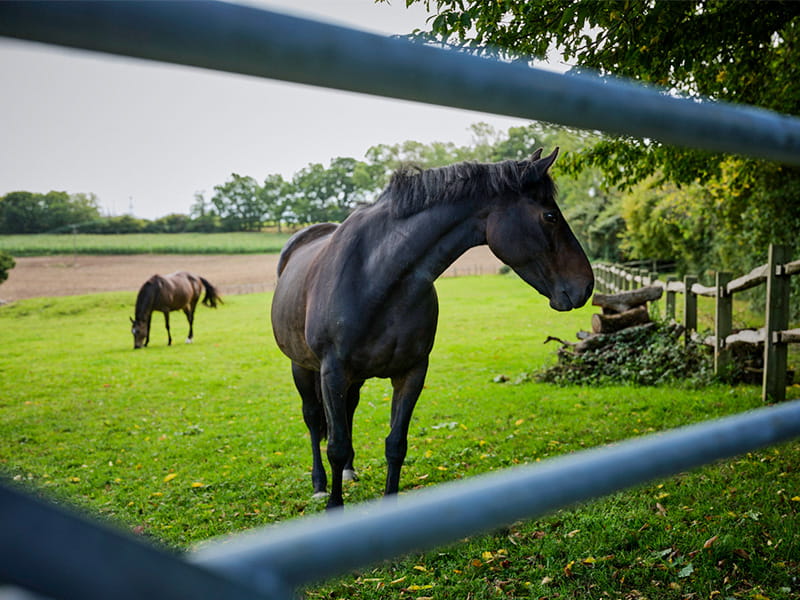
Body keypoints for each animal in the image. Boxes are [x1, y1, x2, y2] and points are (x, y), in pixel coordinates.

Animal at [270, 148, 594, 509]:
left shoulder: (412, 372)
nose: (586, 285)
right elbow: (336, 446)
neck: (376, 276)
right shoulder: (333, 371)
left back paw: (351, 472)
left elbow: (396, 444)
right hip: (302, 367)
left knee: (349, 410)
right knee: (314, 419)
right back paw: (319, 484)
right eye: (550, 216)